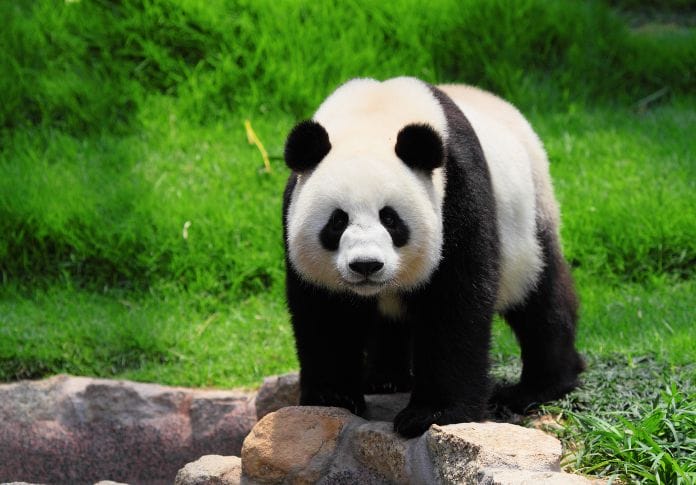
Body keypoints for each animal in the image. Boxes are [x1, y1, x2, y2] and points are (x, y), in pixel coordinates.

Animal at [282, 77, 584, 438]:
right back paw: (384, 379)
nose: (366, 265)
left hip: (530, 220)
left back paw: (538, 387)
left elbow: (455, 302)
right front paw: (333, 397)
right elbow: (326, 312)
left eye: (390, 218)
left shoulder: (457, 192)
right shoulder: (293, 210)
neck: (373, 116)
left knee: (541, 298)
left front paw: (431, 414)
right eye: (337, 221)